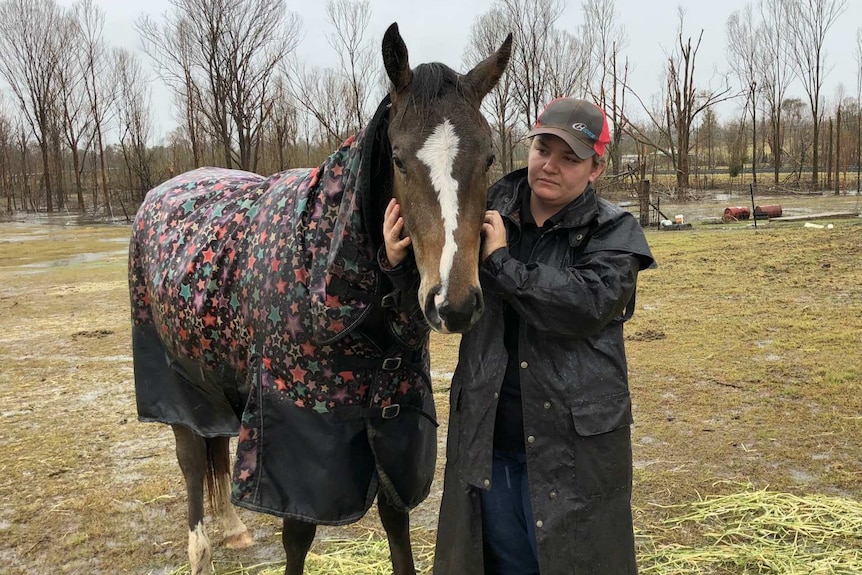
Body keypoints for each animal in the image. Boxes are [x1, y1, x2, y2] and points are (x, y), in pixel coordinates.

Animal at [128, 21, 512, 575]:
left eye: (488, 157)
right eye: (399, 158)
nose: (454, 303)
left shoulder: (393, 418)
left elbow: (396, 519)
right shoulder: (295, 436)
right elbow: (298, 534)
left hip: (219, 379)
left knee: (215, 445)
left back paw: (234, 529)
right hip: (179, 382)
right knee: (191, 458)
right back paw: (199, 548)